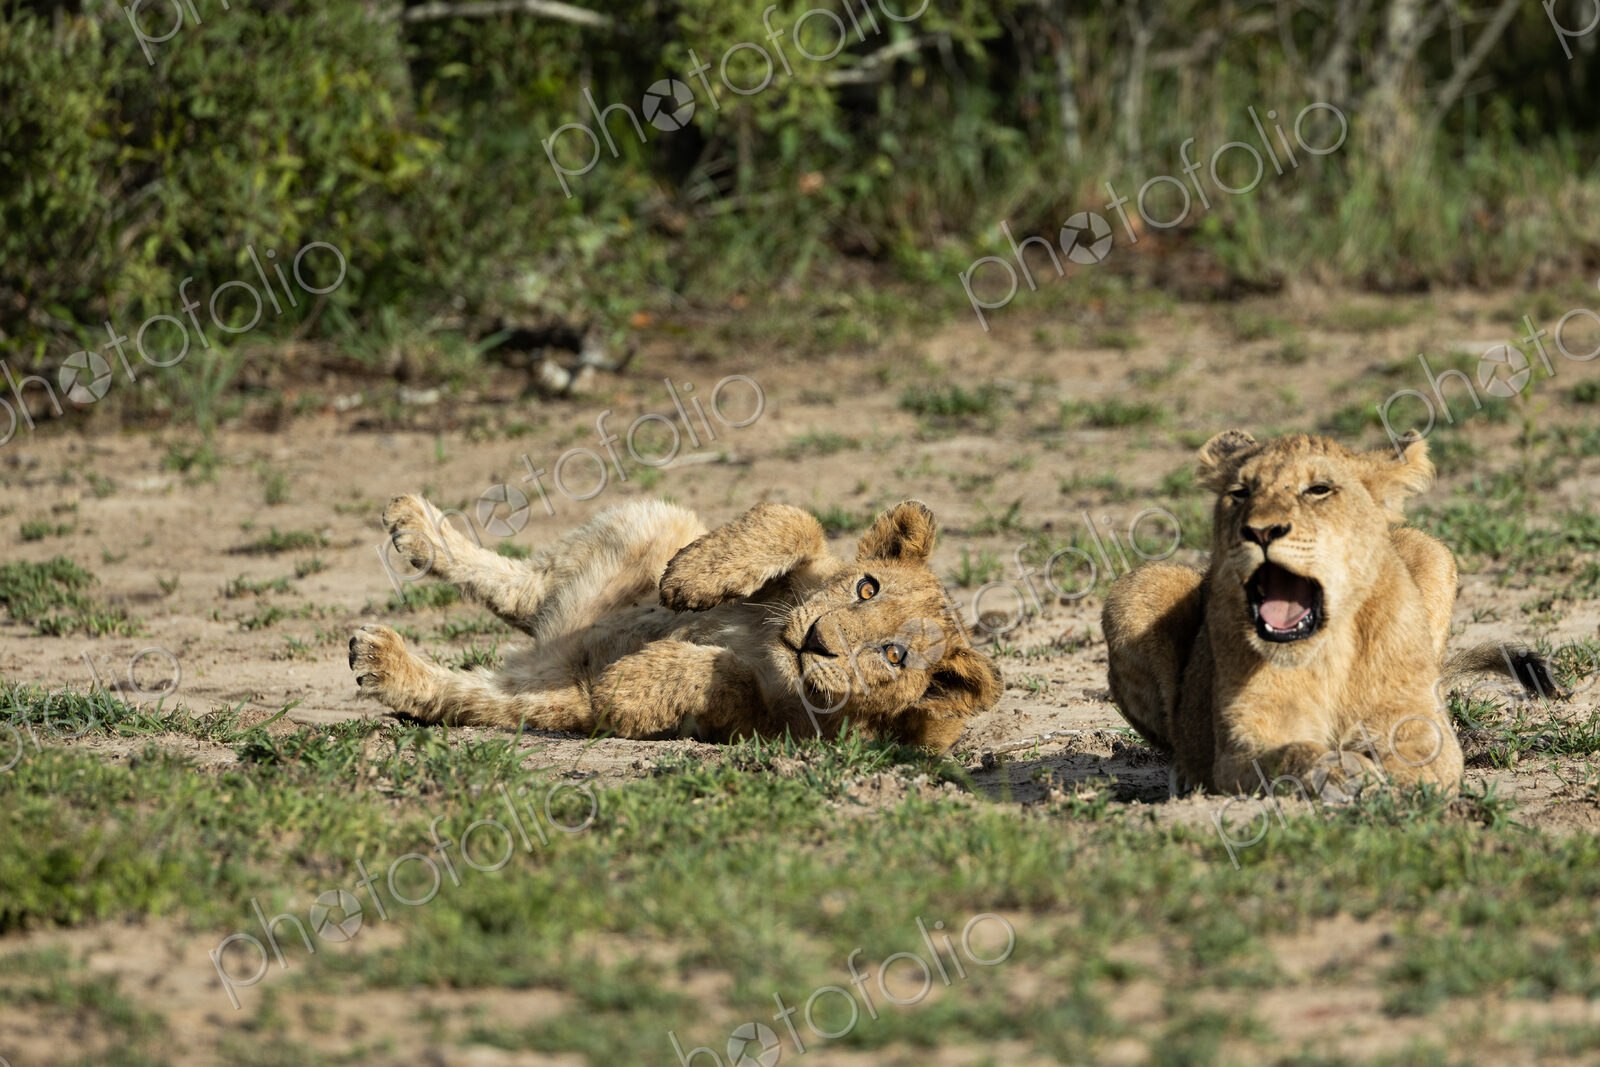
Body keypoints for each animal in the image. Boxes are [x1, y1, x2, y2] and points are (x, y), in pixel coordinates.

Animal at [348, 495, 1002, 749]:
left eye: (894, 656)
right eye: (867, 588)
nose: (817, 640)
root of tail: (551, 645)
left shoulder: (768, 729)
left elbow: (730, 676)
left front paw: (633, 681)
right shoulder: (811, 568)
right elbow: (794, 520)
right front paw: (692, 577)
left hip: (550, 700)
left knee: (466, 691)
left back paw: (379, 660)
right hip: (648, 518)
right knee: (527, 589)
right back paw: (414, 527)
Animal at [1102, 429, 1560, 799]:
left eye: (1318, 490)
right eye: (1240, 493)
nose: (1260, 531)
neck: (1327, 651)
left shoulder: (1417, 720)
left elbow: (1426, 756)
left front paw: (1402, 785)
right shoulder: (1238, 747)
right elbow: (1292, 753)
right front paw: (1344, 773)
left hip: (1431, 551)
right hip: (1135, 590)